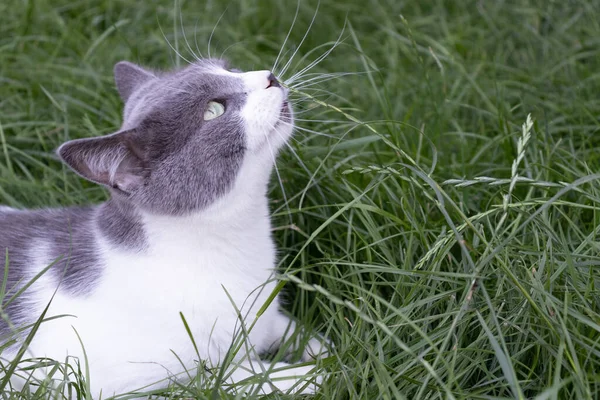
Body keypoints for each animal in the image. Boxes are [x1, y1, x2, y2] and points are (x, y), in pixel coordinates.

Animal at [0, 57, 328, 396]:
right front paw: (310, 373)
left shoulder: (264, 312)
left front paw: (320, 348)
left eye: (230, 69)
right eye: (213, 110)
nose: (269, 77)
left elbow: (291, 329)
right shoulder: (118, 377)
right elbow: (232, 377)